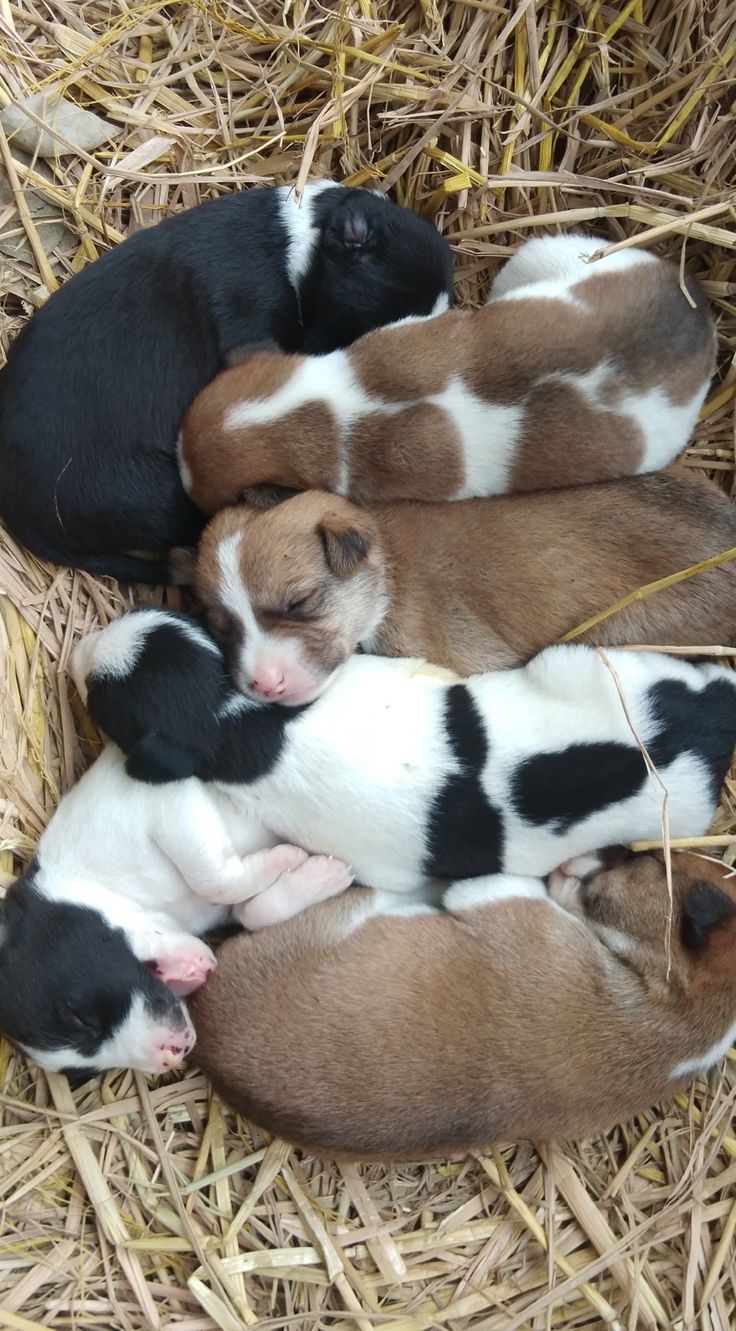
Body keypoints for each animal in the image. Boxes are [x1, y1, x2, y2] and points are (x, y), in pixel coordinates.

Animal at [190, 851, 736, 1165]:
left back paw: (321, 873)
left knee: (257, 909)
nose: (619, 848)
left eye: (655, 866)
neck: (683, 1016)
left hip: (344, 914)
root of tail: (208, 1044)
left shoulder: (500, 898)